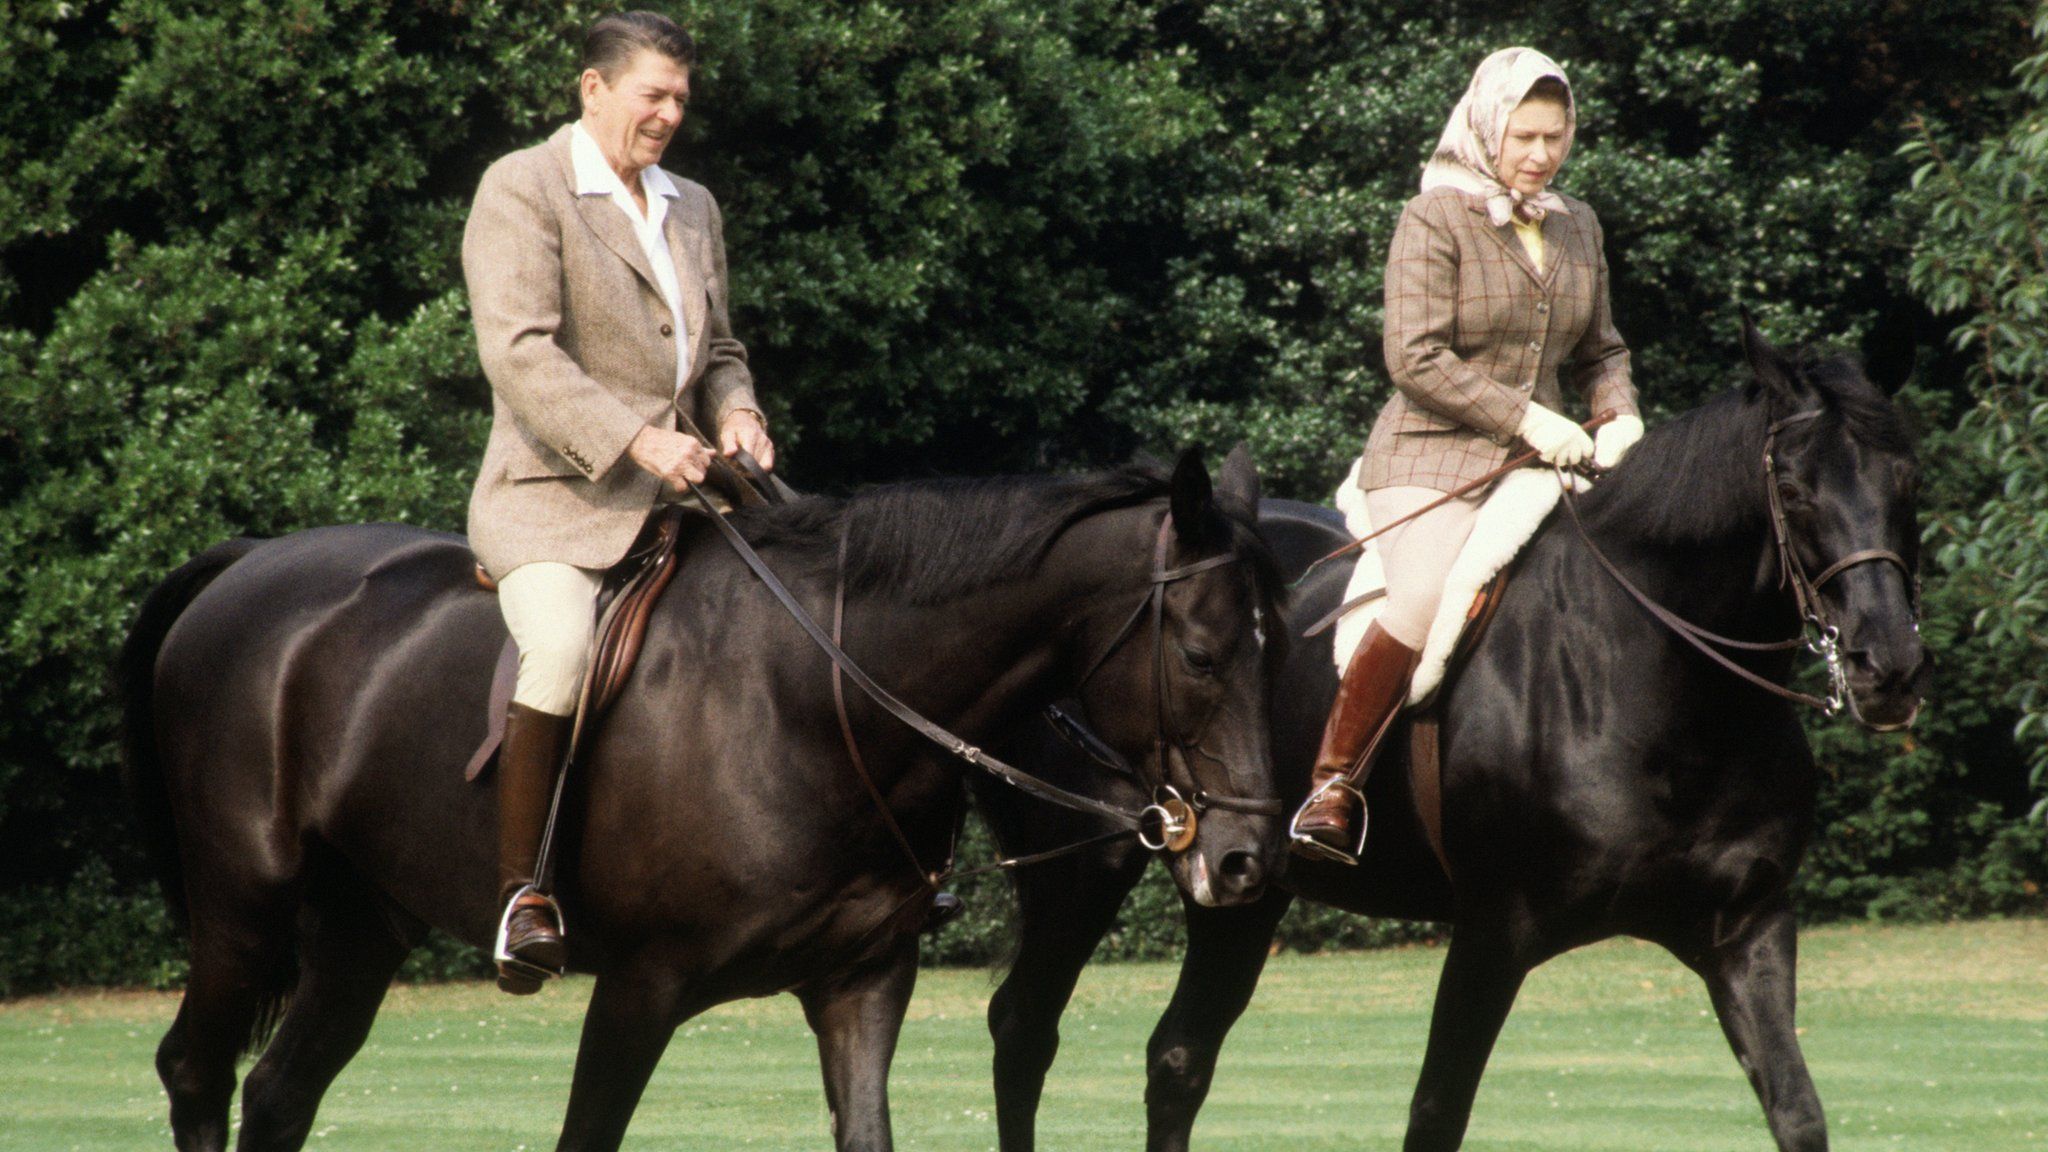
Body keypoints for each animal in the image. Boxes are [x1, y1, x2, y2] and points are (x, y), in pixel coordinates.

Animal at [116, 448, 1277, 1147]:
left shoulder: (860, 983)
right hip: (243, 907)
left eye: (1265, 650)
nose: (1241, 859)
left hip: (358, 930)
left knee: (276, 1094)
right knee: (192, 1071)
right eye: (1203, 654)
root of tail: (252, 563)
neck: (807, 702)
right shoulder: (640, 988)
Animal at [970, 325, 1916, 1147]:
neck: (1657, 686)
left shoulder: (1746, 930)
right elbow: (1436, 1113)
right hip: (1083, 866)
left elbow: (1797, 1113)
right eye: (1793, 491)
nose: (1890, 667)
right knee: (1024, 1029)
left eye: (1908, 482)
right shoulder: (1493, 935)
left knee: (1178, 1058)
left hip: (1240, 884)